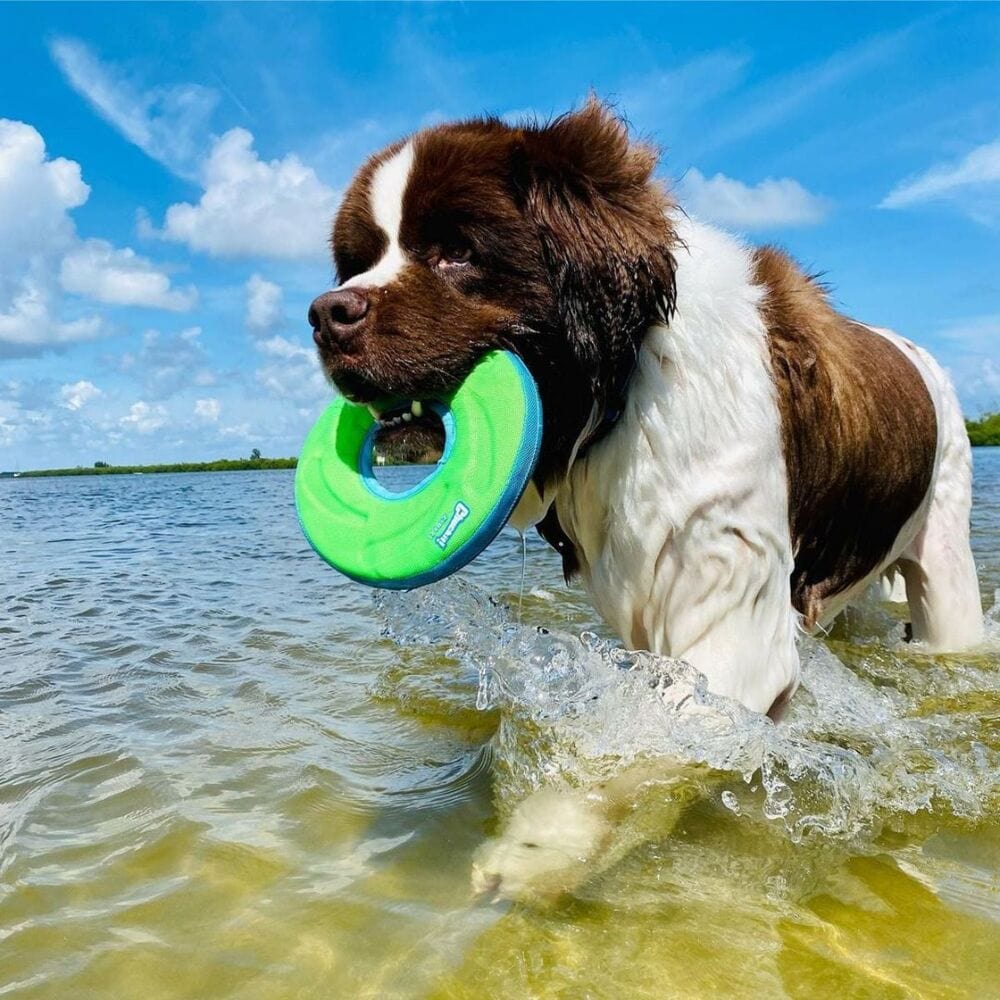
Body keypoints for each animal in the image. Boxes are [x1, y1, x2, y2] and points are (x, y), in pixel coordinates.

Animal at [310, 97, 984, 900]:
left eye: (456, 251)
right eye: (355, 262)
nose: (326, 313)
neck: (623, 395)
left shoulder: (729, 605)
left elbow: (641, 745)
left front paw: (540, 840)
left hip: (947, 566)